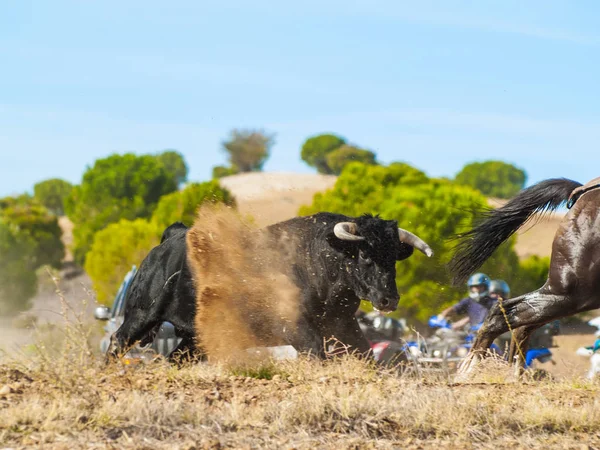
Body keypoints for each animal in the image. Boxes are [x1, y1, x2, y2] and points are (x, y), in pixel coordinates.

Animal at [108, 214, 434, 362]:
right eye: (365, 254)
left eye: (393, 257)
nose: (389, 298)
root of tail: (173, 236)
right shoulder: (297, 330)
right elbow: (317, 355)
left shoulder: (342, 324)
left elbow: (366, 355)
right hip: (141, 316)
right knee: (117, 341)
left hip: (194, 338)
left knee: (176, 358)